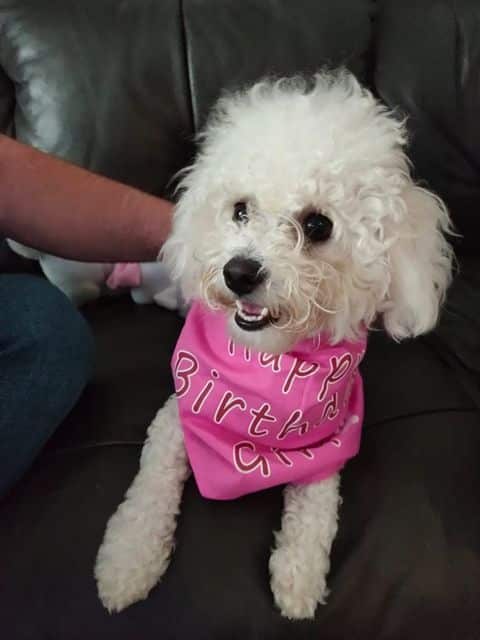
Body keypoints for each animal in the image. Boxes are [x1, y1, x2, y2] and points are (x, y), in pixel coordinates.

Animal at [94, 70, 454, 620]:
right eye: (241, 210)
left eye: (317, 225)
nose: (239, 272)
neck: (268, 358)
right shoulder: (175, 418)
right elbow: (149, 489)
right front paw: (127, 561)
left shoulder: (330, 443)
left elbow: (317, 512)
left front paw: (298, 578)